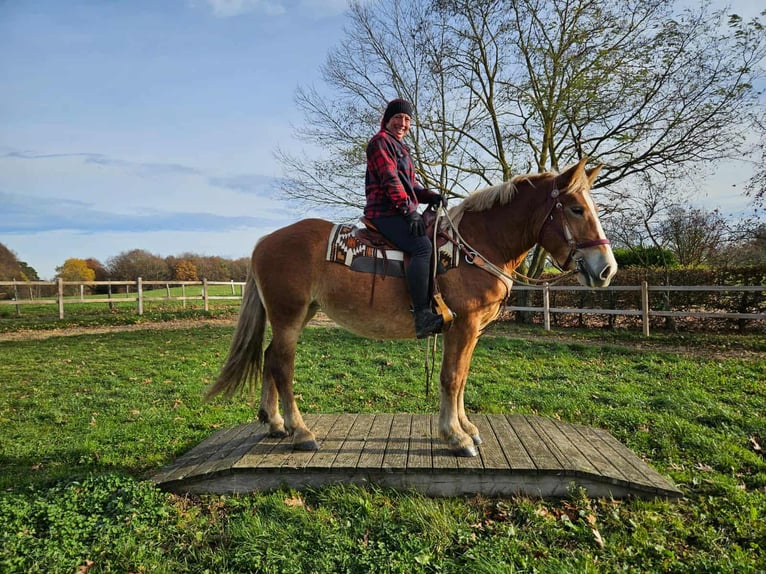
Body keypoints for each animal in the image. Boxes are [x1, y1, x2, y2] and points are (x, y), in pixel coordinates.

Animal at [205, 158, 617, 457]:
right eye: (576, 209)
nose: (607, 269)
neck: (477, 244)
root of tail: (264, 241)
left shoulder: (469, 331)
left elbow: (461, 377)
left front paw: (466, 428)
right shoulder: (463, 325)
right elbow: (451, 378)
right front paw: (455, 436)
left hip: (298, 314)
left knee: (269, 358)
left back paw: (275, 423)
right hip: (289, 315)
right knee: (282, 366)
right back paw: (301, 432)